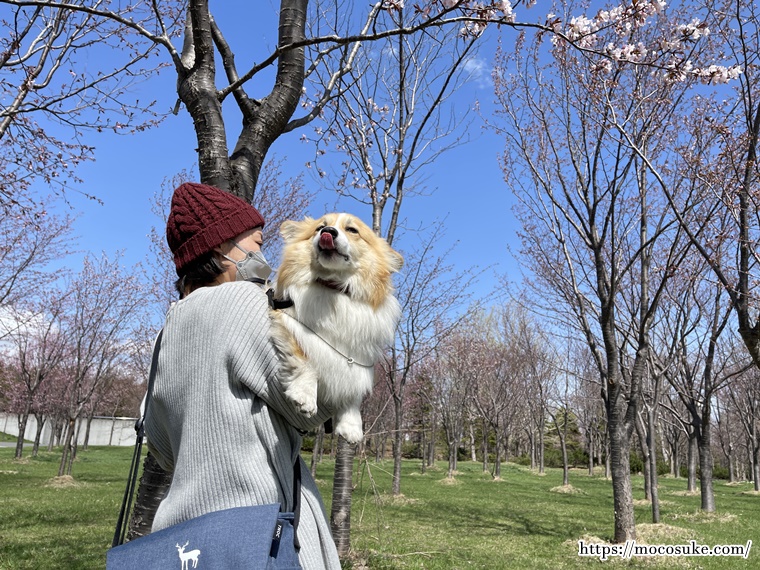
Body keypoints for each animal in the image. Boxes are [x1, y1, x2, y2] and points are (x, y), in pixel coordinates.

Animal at [272, 212, 404, 440]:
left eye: (352, 230)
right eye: (319, 228)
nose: (328, 232)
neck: (334, 287)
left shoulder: (359, 353)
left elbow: (352, 384)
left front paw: (351, 426)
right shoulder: (285, 321)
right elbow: (305, 359)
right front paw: (305, 396)